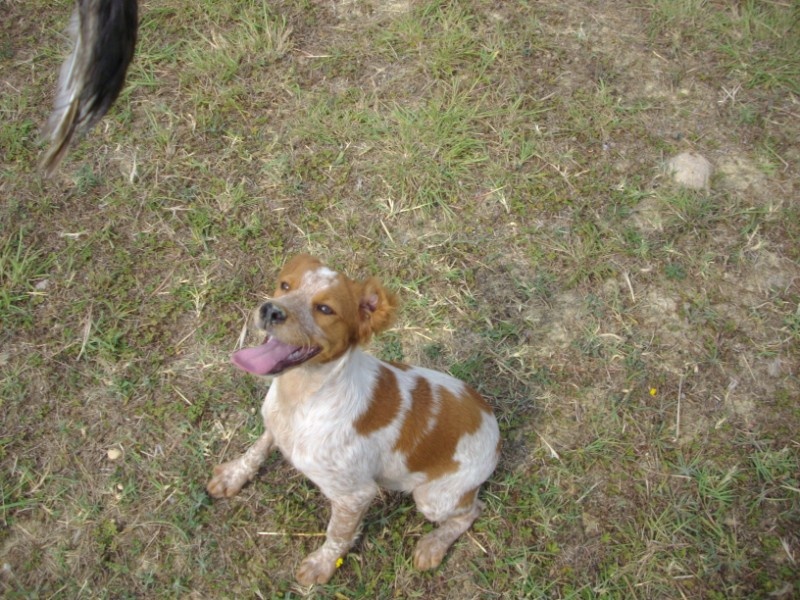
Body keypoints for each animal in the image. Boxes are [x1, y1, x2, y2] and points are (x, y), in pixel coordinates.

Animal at [209, 254, 504, 584]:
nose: (271, 309)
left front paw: (322, 564)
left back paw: (433, 545)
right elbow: (256, 449)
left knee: (471, 510)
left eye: (325, 309)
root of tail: (490, 419)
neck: (302, 398)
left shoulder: (355, 495)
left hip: (432, 498)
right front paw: (233, 475)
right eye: (285, 285)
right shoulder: (274, 426)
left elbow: (338, 534)